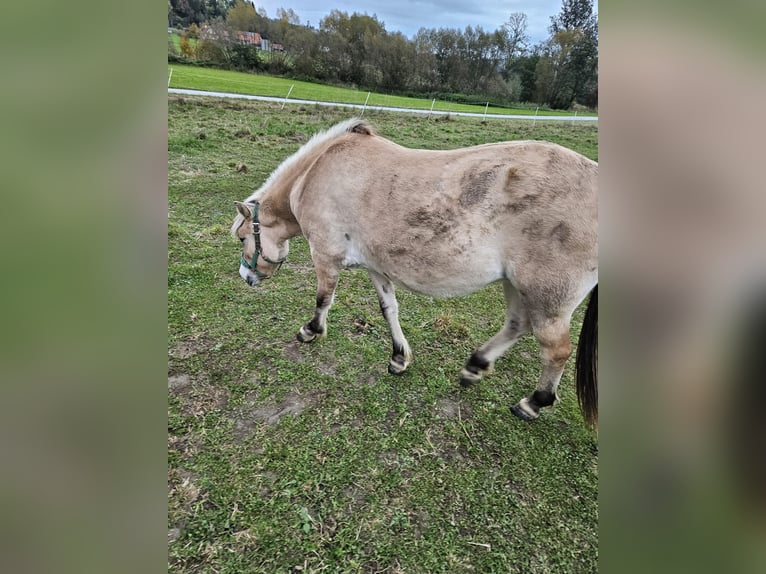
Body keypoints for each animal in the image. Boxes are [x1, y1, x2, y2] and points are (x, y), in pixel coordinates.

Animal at [231, 118, 598, 427]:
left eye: (242, 237)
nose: (246, 278)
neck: (315, 174)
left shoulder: (325, 255)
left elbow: (323, 299)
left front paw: (310, 331)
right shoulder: (376, 268)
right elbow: (389, 309)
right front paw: (398, 358)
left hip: (546, 297)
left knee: (555, 351)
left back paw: (533, 402)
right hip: (517, 284)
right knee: (517, 325)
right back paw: (475, 367)